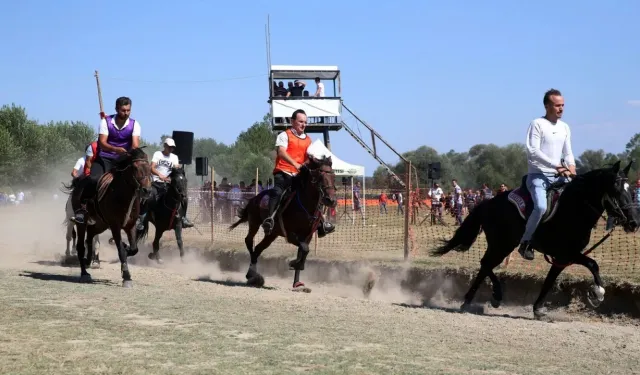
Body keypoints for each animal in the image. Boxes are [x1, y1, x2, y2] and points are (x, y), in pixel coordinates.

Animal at [66, 148, 151, 290]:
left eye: (149, 168)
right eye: (134, 168)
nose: (147, 191)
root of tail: (79, 182)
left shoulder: (131, 225)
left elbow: (134, 249)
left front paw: (126, 248)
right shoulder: (115, 226)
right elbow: (121, 251)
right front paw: (126, 277)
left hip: (101, 224)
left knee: (90, 236)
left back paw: (89, 260)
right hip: (82, 223)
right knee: (80, 246)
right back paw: (84, 273)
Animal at [230, 156, 340, 290]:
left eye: (333, 176)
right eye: (320, 176)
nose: (331, 200)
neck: (304, 204)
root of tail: (255, 198)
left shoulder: (307, 236)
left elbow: (303, 251)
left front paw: (297, 282)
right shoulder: (291, 234)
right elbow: (304, 249)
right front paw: (294, 263)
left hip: (272, 234)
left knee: (258, 249)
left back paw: (255, 276)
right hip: (254, 223)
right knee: (249, 241)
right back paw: (251, 274)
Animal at [432, 160, 636, 318]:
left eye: (631, 189)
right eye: (616, 189)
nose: (633, 222)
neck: (573, 209)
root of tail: (488, 203)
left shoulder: (562, 258)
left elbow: (549, 281)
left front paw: (538, 309)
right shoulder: (567, 252)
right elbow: (593, 264)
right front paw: (597, 293)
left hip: (503, 245)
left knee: (485, 266)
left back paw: (470, 301)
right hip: (501, 244)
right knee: (486, 264)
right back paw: (495, 295)